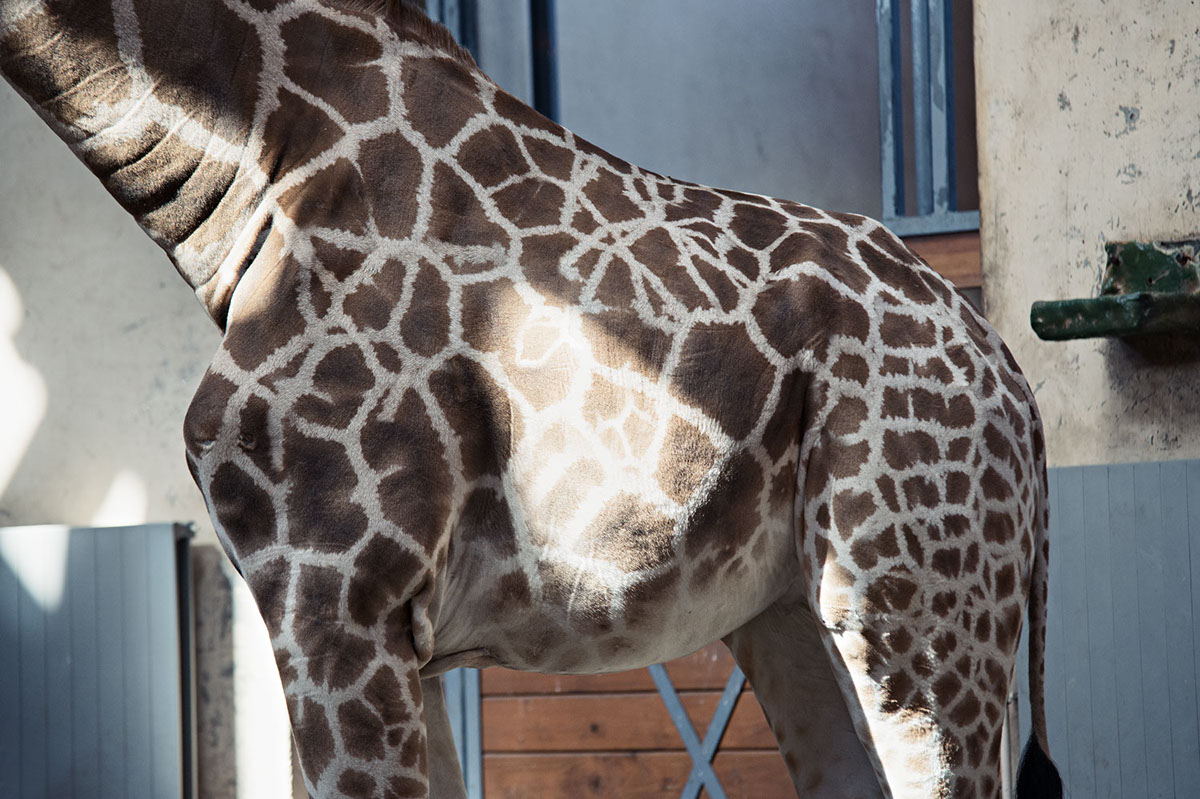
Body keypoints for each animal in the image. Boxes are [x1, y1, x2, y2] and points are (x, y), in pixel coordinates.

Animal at [0, 1, 1064, 797]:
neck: (251, 178)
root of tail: (1015, 383)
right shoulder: (374, 632)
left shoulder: (336, 605)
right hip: (803, 619)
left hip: (923, 618)